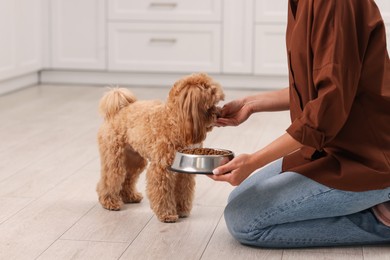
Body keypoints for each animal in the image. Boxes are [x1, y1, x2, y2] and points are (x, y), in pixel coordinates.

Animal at [96, 72, 224, 221]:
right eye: (210, 105)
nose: (219, 114)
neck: (175, 120)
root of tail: (118, 110)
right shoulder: (161, 168)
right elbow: (163, 192)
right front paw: (167, 214)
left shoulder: (183, 171)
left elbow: (183, 191)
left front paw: (182, 210)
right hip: (114, 157)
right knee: (109, 178)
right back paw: (109, 201)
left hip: (134, 159)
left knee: (127, 178)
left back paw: (130, 196)